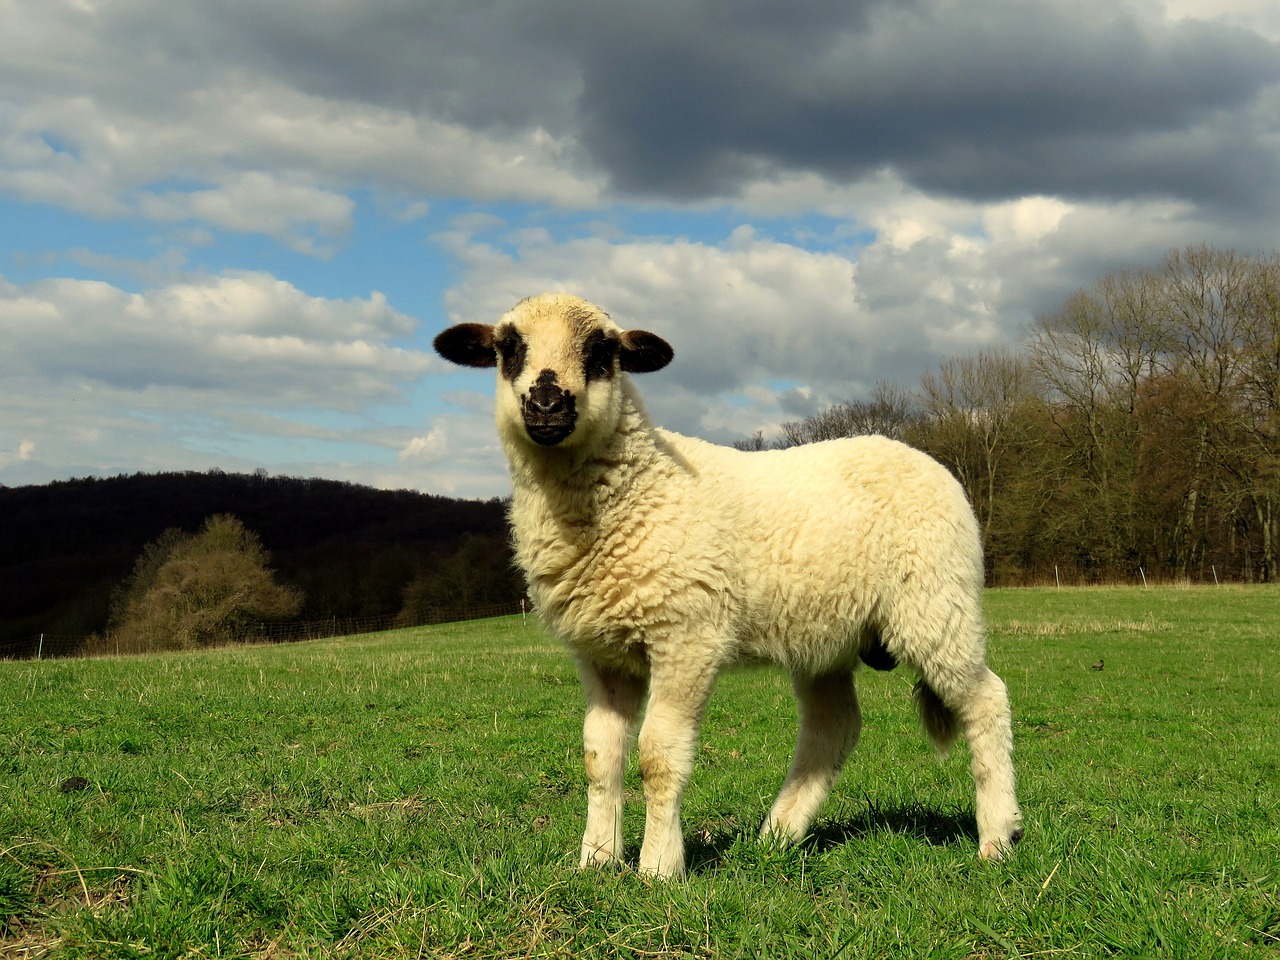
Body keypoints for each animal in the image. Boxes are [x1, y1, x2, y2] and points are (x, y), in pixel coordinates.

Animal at [435, 291, 1024, 880]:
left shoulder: (686, 636)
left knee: (985, 700)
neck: (635, 487)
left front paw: (658, 867)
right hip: (826, 637)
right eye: (508, 348)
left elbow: (658, 754)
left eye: (602, 353)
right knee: (834, 726)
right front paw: (596, 860)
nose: (547, 403)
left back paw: (998, 835)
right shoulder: (602, 653)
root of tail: (926, 461)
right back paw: (778, 836)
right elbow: (600, 756)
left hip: (935, 603)